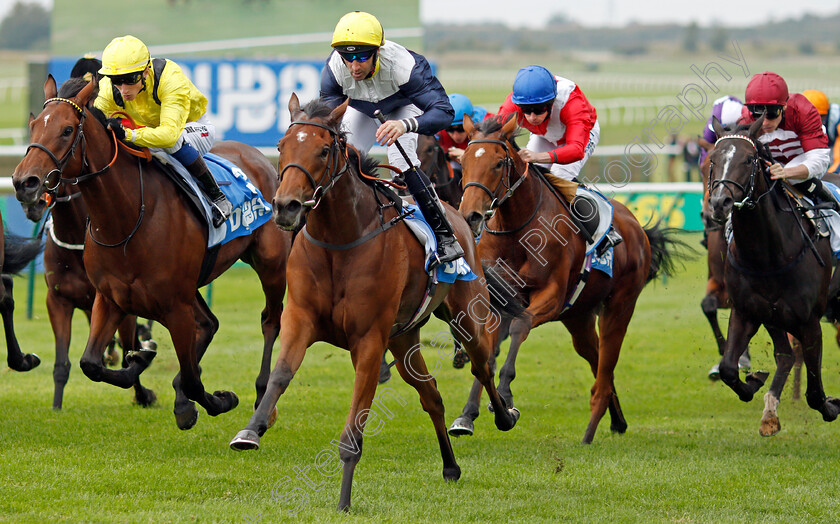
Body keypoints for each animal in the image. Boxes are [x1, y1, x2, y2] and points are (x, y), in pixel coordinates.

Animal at [9, 78, 292, 430]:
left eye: (67, 129)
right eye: (33, 126)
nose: (24, 182)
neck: (126, 221)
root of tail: (260, 157)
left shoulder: (174, 305)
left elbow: (193, 380)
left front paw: (218, 400)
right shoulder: (110, 298)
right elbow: (92, 364)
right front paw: (142, 359)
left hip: (270, 264)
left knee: (269, 321)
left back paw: (262, 393)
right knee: (209, 323)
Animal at [230, 95, 524, 512]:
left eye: (323, 150)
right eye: (282, 146)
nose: (286, 206)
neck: (340, 240)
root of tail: (457, 215)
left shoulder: (369, 339)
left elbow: (355, 426)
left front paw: (343, 500)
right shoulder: (300, 320)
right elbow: (281, 374)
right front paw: (252, 429)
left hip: (467, 318)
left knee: (482, 364)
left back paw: (503, 415)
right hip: (402, 340)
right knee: (431, 395)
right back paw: (450, 466)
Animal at [452, 113, 684, 442]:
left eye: (498, 163)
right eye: (464, 160)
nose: (470, 215)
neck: (517, 230)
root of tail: (637, 228)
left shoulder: (550, 294)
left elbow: (520, 326)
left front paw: (506, 397)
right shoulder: (499, 301)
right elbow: (489, 351)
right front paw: (468, 415)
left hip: (619, 307)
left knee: (606, 364)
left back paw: (591, 429)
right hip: (579, 317)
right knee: (597, 359)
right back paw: (617, 420)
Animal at [708, 117, 840, 434]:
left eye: (749, 159)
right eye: (713, 159)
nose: (719, 203)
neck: (767, 256)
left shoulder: (809, 321)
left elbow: (815, 392)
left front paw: (831, 406)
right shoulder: (748, 311)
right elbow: (729, 369)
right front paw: (754, 381)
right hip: (774, 316)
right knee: (785, 355)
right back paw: (769, 412)